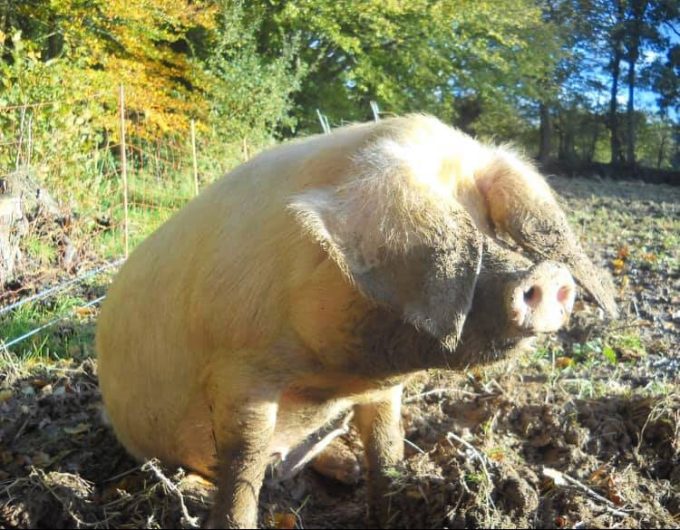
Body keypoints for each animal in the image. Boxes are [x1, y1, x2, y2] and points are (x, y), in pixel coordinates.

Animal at [97, 113, 616, 524]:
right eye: (461, 231)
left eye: (491, 224)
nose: (547, 274)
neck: (330, 378)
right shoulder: (239, 369)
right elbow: (242, 465)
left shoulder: (383, 391)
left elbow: (387, 451)